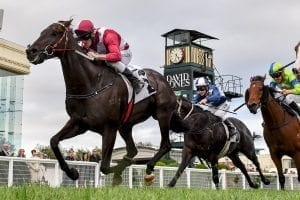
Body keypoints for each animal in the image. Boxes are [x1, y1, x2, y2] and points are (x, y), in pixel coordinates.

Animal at [25, 19, 188, 185]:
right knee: (133, 150)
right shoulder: (79, 123)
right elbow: (53, 141)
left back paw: (148, 170)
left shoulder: (109, 127)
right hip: (125, 126)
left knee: (165, 145)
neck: (91, 84)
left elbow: (104, 166)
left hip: (162, 114)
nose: (31, 51)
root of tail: (163, 80)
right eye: (42, 32)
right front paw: (73, 172)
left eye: (55, 32)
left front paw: (117, 174)